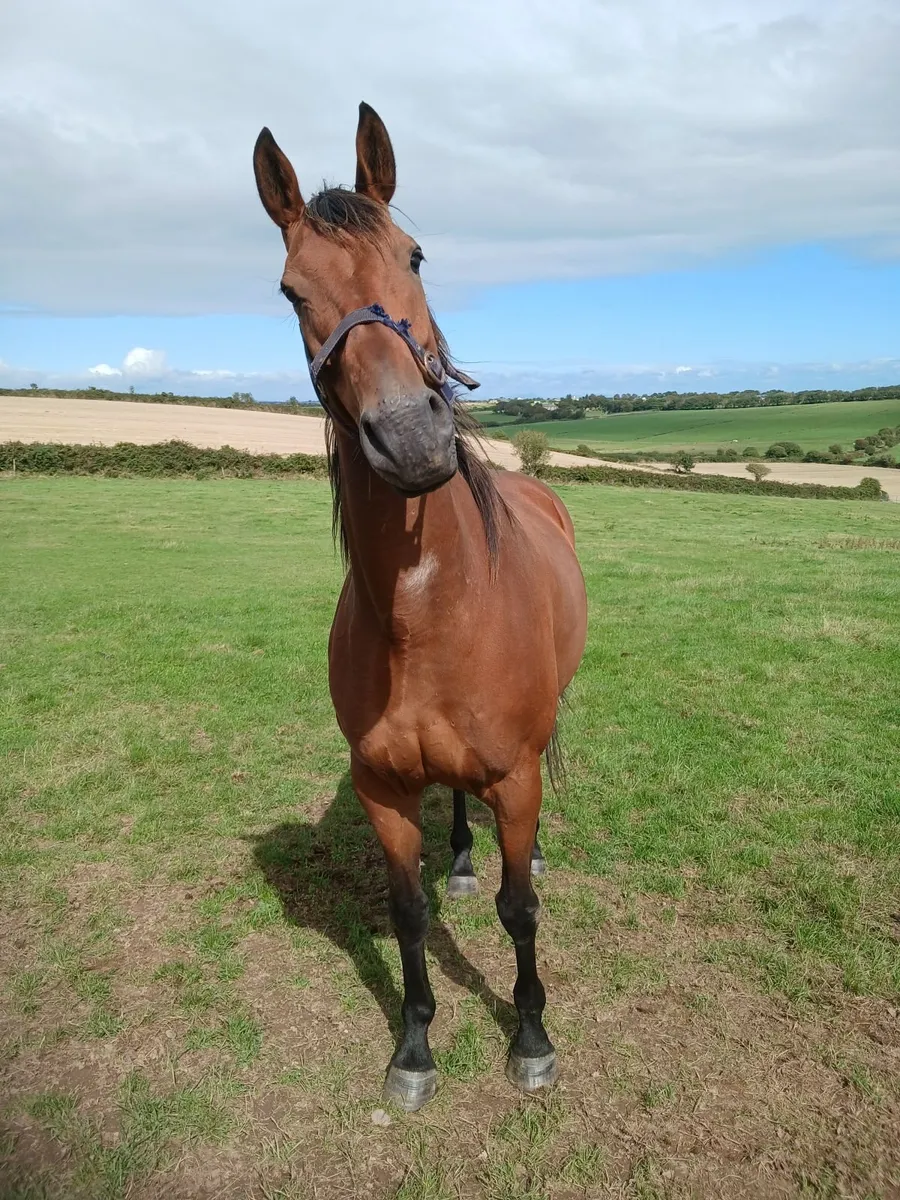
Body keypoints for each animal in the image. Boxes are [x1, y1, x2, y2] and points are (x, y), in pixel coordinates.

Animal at [253, 102, 587, 1111]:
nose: (408, 438)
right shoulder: (382, 791)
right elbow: (405, 913)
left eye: (416, 253)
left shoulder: (516, 777)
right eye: (291, 292)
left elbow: (522, 912)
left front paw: (531, 1037)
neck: (428, 614)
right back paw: (466, 859)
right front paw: (413, 1049)